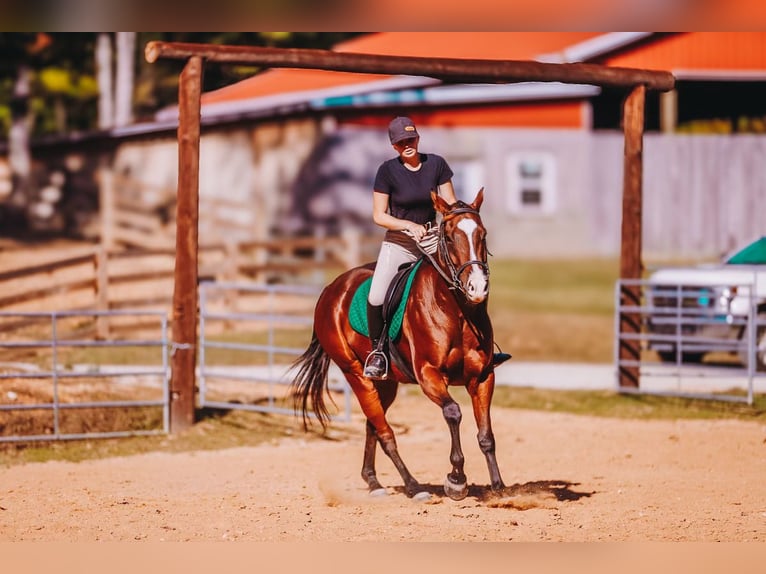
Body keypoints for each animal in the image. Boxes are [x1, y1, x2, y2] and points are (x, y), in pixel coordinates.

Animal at [290, 188, 505, 501]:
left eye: (483, 234)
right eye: (450, 236)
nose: (477, 288)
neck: (456, 311)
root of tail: (331, 290)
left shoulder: (483, 377)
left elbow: (486, 435)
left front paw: (498, 486)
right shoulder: (429, 375)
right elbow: (453, 413)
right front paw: (456, 480)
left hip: (387, 383)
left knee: (373, 424)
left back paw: (373, 482)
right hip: (355, 374)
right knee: (384, 432)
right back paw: (413, 486)